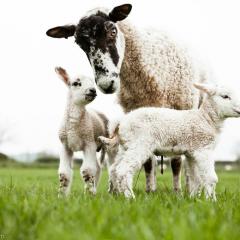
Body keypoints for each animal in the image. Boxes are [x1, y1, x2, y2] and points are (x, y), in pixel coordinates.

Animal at [54, 66, 108, 196]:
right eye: (76, 83)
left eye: (93, 82)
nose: (93, 90)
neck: (74, 127)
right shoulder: (65, 145)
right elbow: (64, 173)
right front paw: (62, 196)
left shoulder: (89, 142)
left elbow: (87, 170)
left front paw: (88, 195)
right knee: (98, 167)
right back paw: (94, 189)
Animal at [106, 83, 240, 200]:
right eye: (225, 96)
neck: (206, 119)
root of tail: (121, 122)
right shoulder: (203, 149)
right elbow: (211, 178)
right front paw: (211, 201)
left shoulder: (192, 153)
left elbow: (195, 179)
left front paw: (194, 199)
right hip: (140, 143)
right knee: (123, 170)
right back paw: (130, 197)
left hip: (126, 146)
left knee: (113, 169)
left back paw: (116, 195)